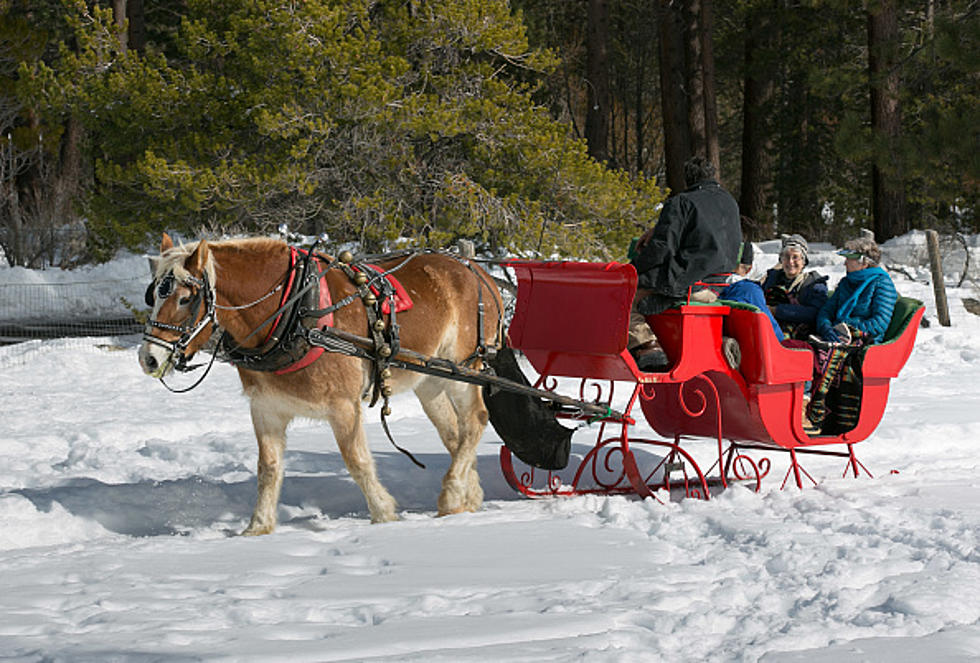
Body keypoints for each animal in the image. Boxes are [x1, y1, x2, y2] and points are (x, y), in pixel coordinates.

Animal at [138, 233, 502, 536]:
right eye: (153, 295)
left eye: (186, 298)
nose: (149, 359)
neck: (295, 313)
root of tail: (476, 271)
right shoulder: (266, 409)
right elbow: (268, 469)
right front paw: (258, 527)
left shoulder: (343, 407)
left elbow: (357, 462)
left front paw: (384, 516)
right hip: (432, 379)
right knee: (454, 434)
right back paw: (466, 497)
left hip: (464, 368)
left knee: (475, 421)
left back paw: (452, 492)